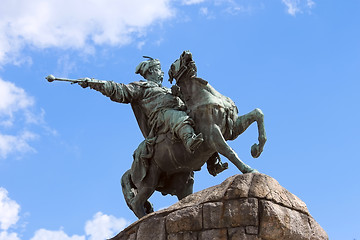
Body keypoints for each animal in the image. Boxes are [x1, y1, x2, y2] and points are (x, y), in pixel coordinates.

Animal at [122, 51, 266, 219]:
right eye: (174, 63)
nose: (186, 53)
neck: (203, 96)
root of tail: (132, 167)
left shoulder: (231, 128)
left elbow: (258, 114)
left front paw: (256, 149)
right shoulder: (213, 135)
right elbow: (230, 152)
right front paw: (249, 170)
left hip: (182, 181)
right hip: (149, 181)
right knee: (136, 203)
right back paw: (147, 217)